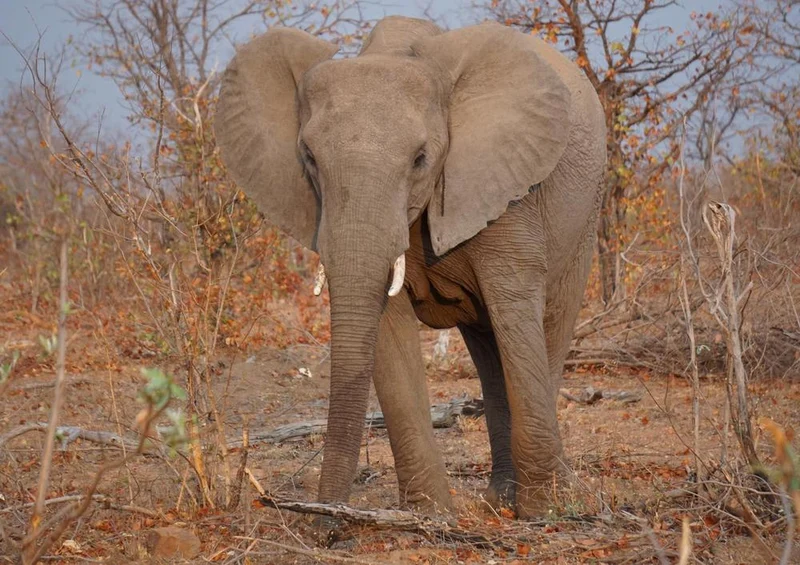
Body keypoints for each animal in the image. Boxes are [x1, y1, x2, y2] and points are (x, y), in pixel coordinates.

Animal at [215, 16, 606, 519]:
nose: (324, 520)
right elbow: (388, 333)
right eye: (309, 158)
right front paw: (430, 516)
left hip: (586, 211)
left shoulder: (509, 190)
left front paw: (548, 512)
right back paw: (500, 498)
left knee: (547, 325)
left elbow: (515, 309)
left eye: (421, 159)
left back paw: (534, 500)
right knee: (488, 348)